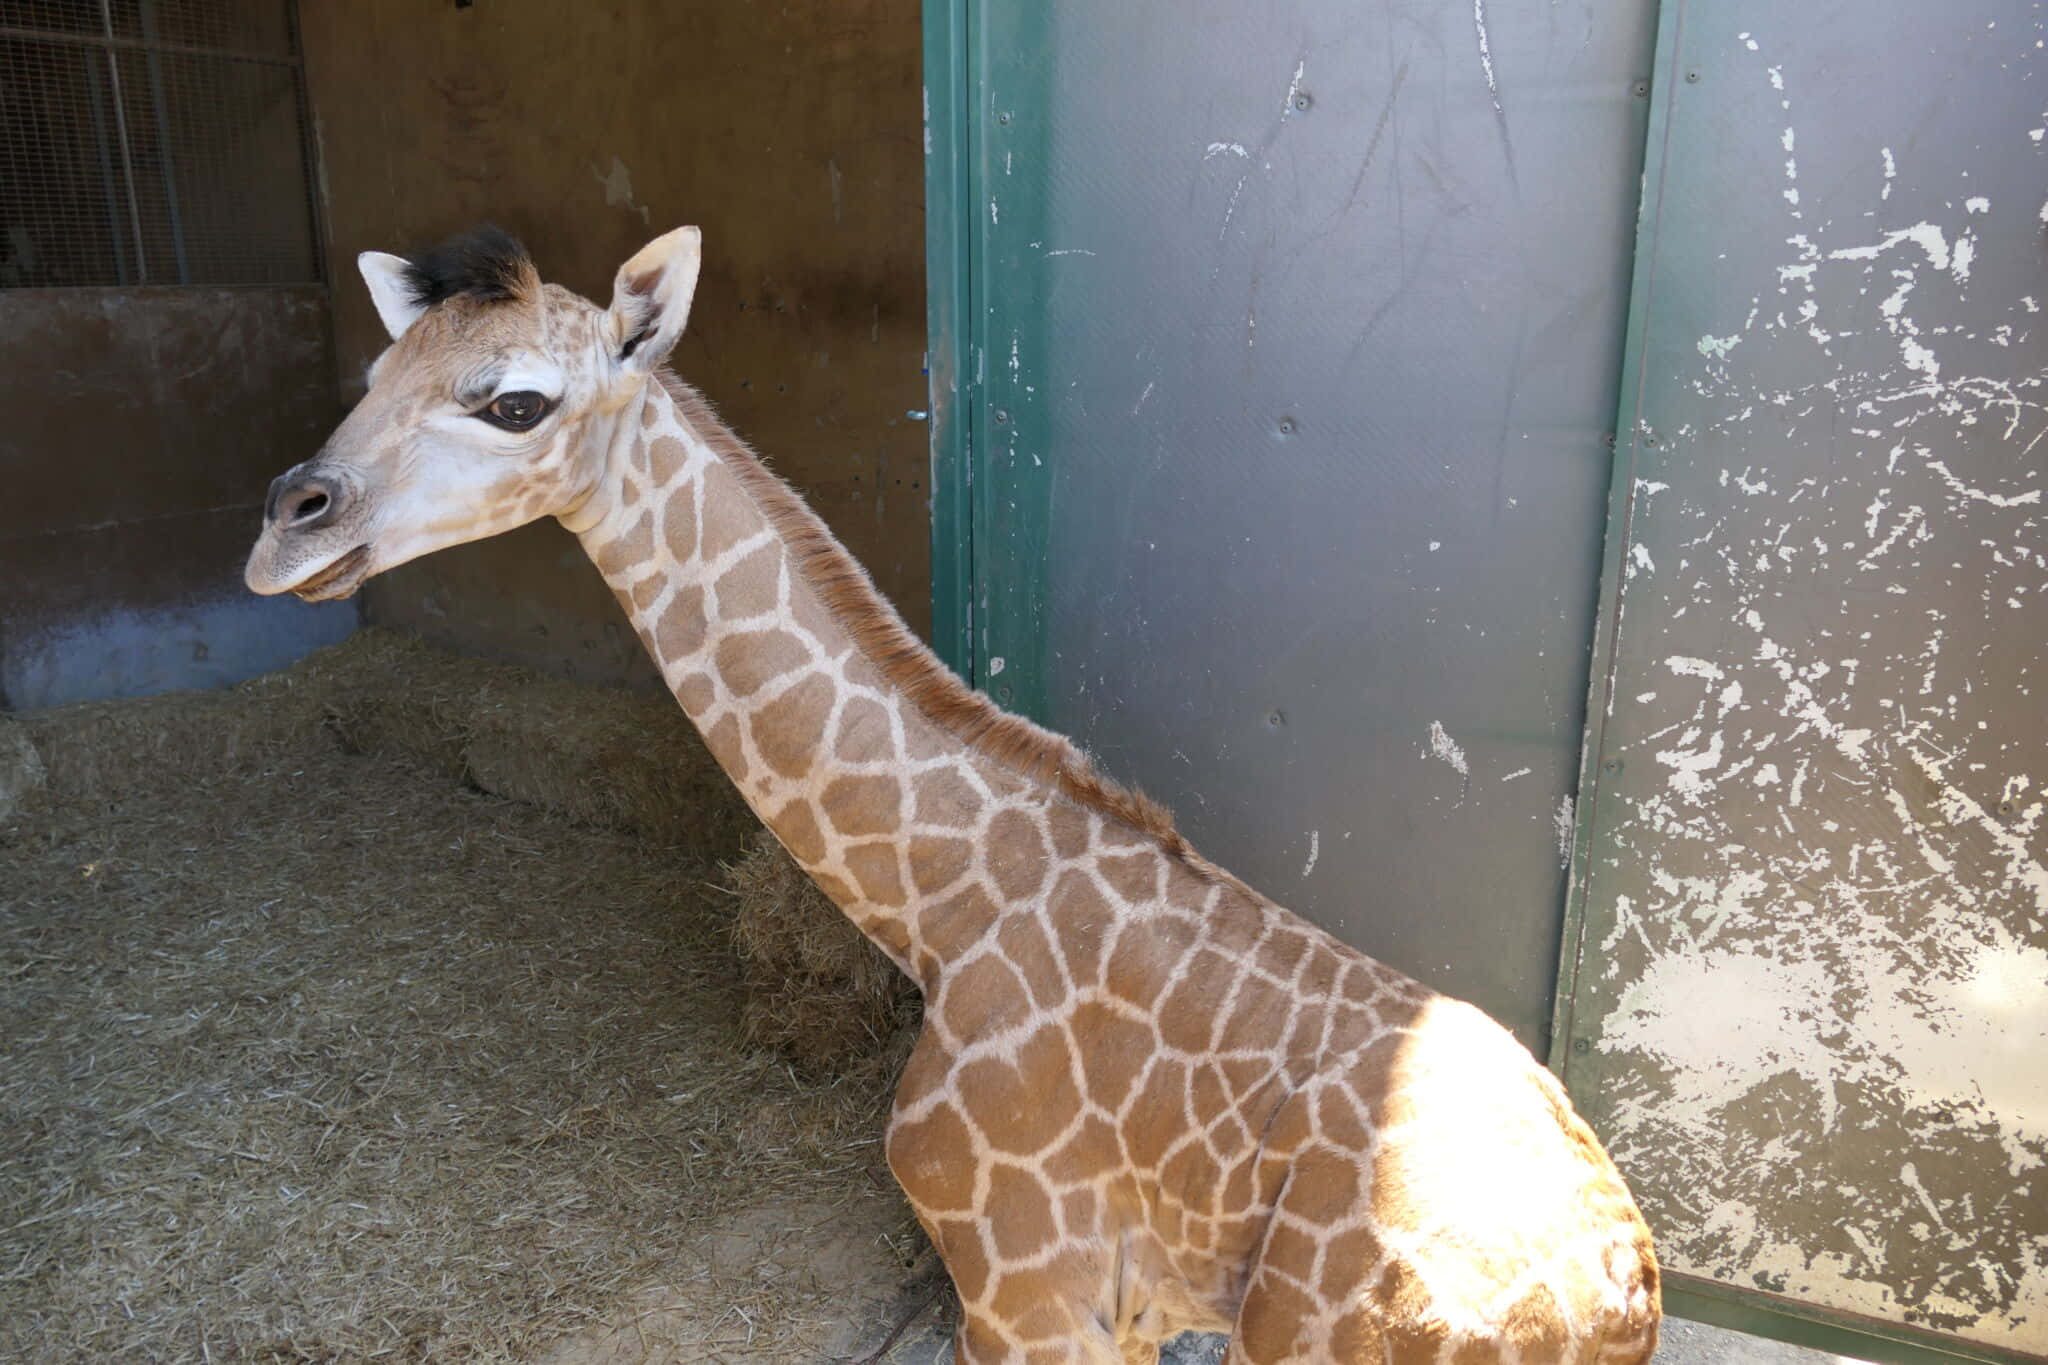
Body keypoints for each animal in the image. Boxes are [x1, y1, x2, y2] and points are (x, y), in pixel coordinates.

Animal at [245, 226, 1660, 1365]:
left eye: (516, 405)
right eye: (372, 381)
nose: (282, 527)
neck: (939, 909)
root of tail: (1621, 1299)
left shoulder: (1023, 1290)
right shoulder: (1115, 1313)